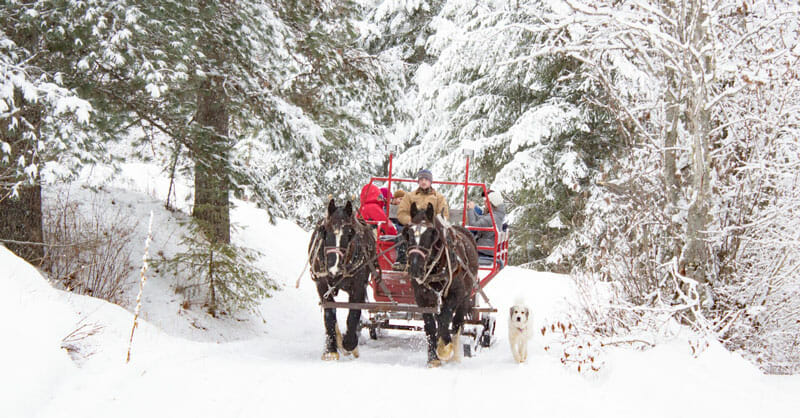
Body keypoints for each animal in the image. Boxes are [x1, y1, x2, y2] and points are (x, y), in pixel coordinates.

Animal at [308, 199, 378, 360]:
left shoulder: (358, 286)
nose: (334, 269)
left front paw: (349, 343)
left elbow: (354, 313)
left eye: (349, 233)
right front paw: (330, 349)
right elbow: (329, 314)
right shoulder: (322, 284)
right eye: (325, 231)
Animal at [403, 202, 479, 367]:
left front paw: (444, 349)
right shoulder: (422, 298)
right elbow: (431, 326)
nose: (415, 268)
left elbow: (445, 322)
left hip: (465, 297)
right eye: (409, 233)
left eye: (431, 233)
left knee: (456, 324)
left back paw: (455, 356)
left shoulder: (455, 295)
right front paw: (433, 358)